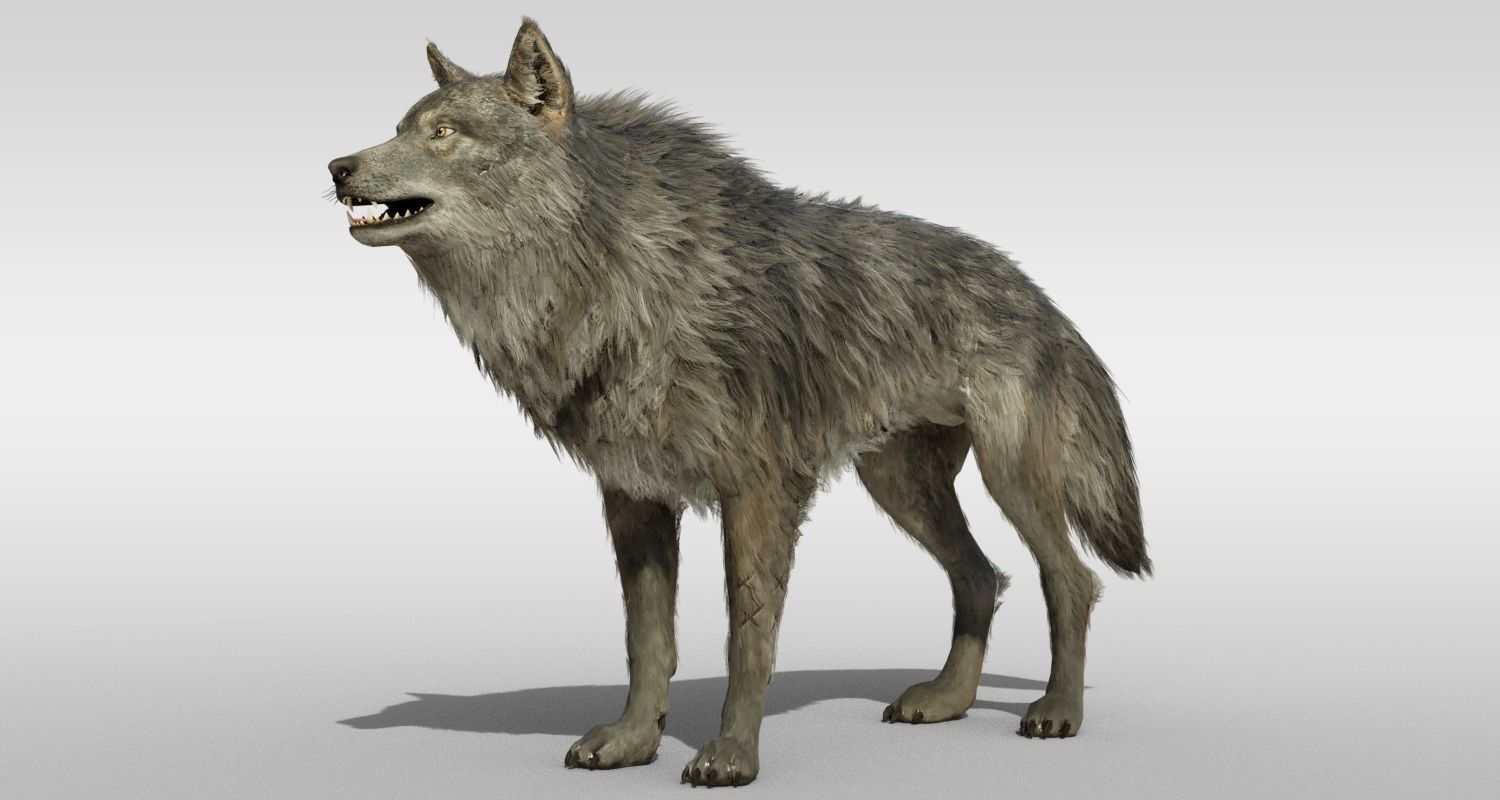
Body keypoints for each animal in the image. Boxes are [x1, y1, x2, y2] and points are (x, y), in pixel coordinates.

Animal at [327, 17, 1150, 787]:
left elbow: (748, 635)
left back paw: (1057, 710)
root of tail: (1037, 293)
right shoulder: (634, 497)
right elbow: (647, 641)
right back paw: (946, 700)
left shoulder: (758, 492)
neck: (617, 276)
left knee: (1070, 579)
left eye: (442, 135)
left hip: (1008, 480)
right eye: (402, 126)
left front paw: (730, 757)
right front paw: (633, 742)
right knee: (981, 576)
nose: (336, 166)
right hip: (900, 487)